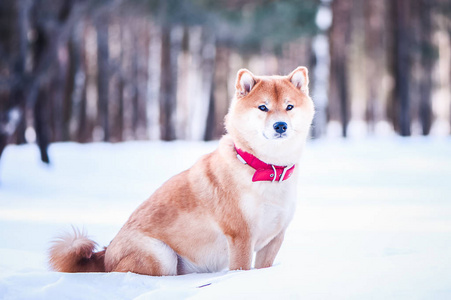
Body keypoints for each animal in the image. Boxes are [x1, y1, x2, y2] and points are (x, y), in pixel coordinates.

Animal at [48, 67, 314, 276]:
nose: (281, 126)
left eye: (289, 107)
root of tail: (105, 255)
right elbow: (241, 269)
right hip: (161, 256)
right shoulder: (241, 236)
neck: (266, 168)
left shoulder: (275, 238)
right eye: (262, 107)